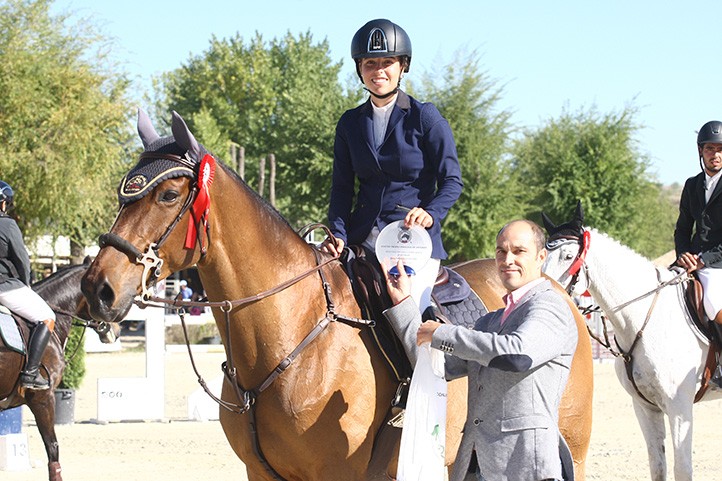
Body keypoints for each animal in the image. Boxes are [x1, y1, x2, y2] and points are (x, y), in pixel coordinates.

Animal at [80, 109, 592, 480]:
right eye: (123, 195)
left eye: (167, 196)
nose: (96, 288)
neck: (290, 336)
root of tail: (553, 287)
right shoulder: (261, 475)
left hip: (571, 440)